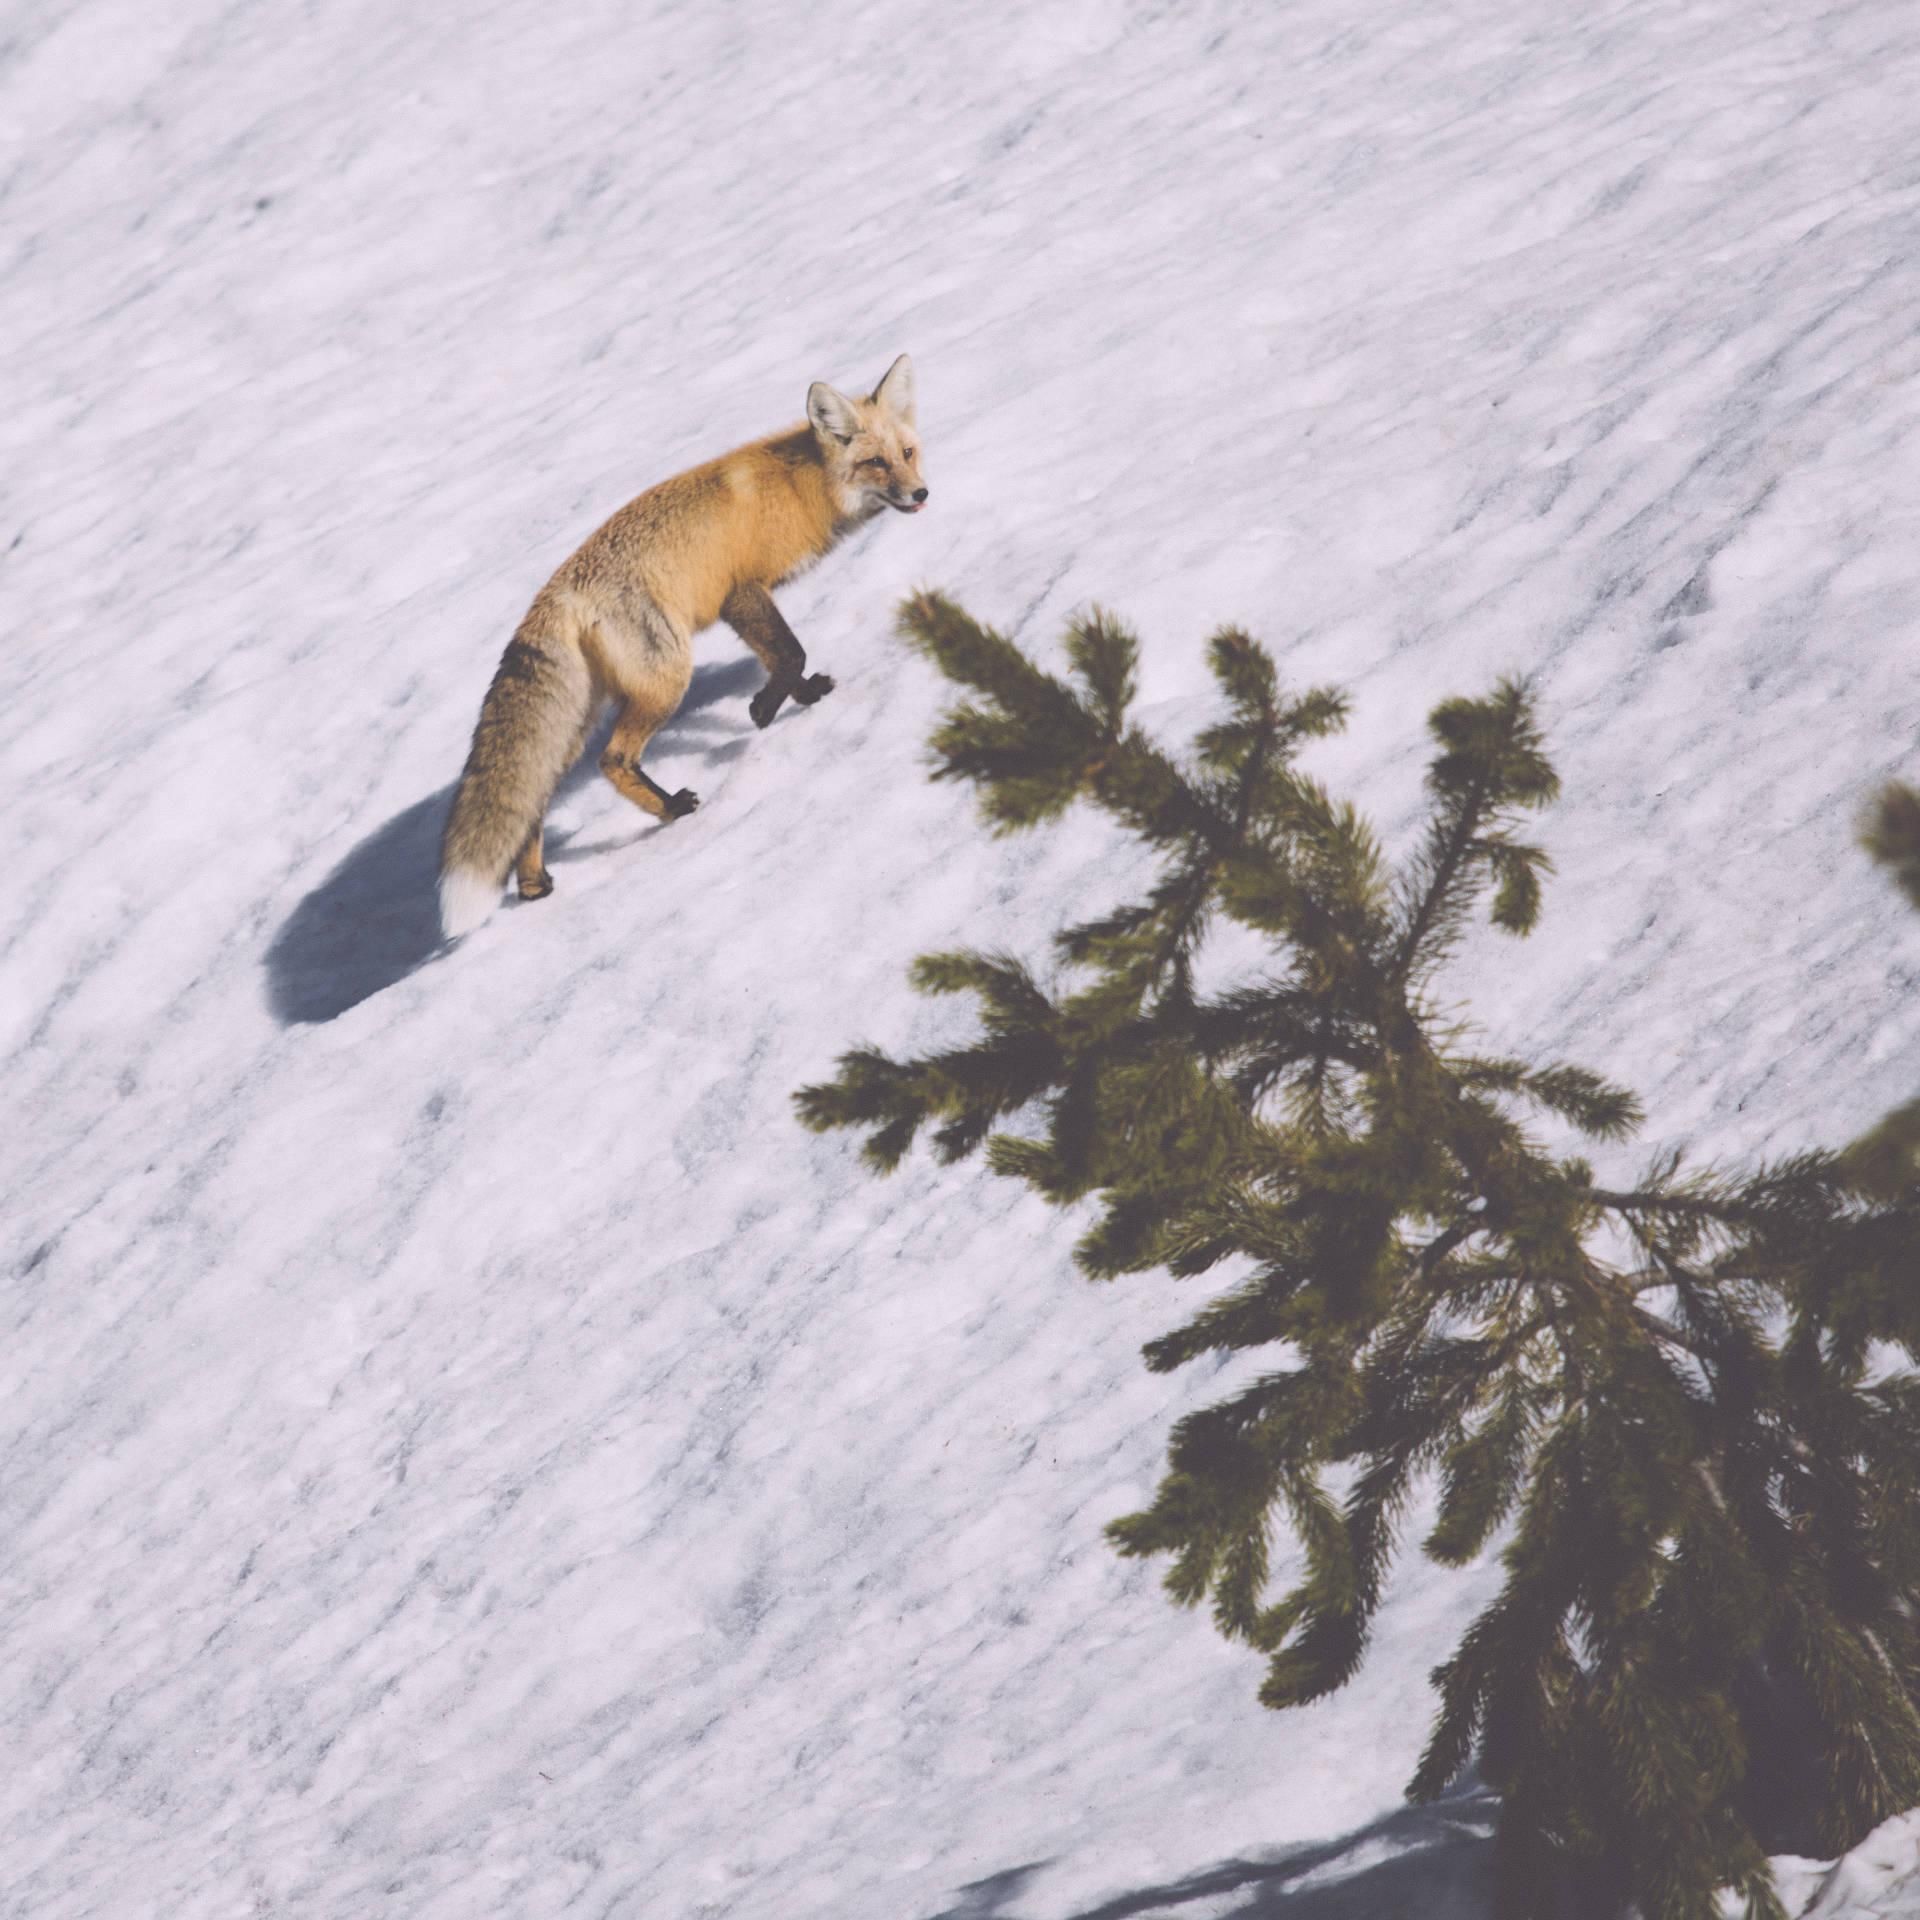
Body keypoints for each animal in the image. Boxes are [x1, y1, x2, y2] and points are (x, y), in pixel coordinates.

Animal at [437, 352, 927, 942]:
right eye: (875, 462)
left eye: (906, 453)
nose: (921, 494)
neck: (802, 486)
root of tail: (553, 597)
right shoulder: (742, 593)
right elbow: (790, 654)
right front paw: (764, 710)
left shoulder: (745, 603)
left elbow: (783, 659)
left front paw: (803, 697)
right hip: (666, 681)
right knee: (612, 760)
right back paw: (671, 809)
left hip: (579, 721)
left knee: (533, 801)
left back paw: (534, 885)